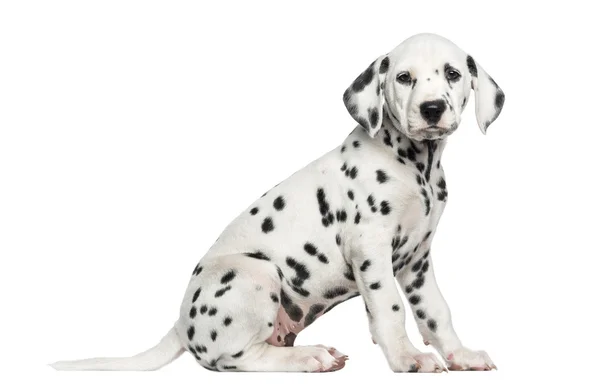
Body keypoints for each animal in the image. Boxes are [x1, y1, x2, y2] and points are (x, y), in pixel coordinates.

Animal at [51, 33, 504, 372]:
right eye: (404, 78)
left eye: (453, 74)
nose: (432, 109)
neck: (415, 165)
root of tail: (180, 324)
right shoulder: (371, 249)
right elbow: (389, 308)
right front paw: (407, 358)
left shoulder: (417, 260)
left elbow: (436, 311)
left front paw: (459, 354)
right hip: (253, 273)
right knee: (238, 358)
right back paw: (309, 358)